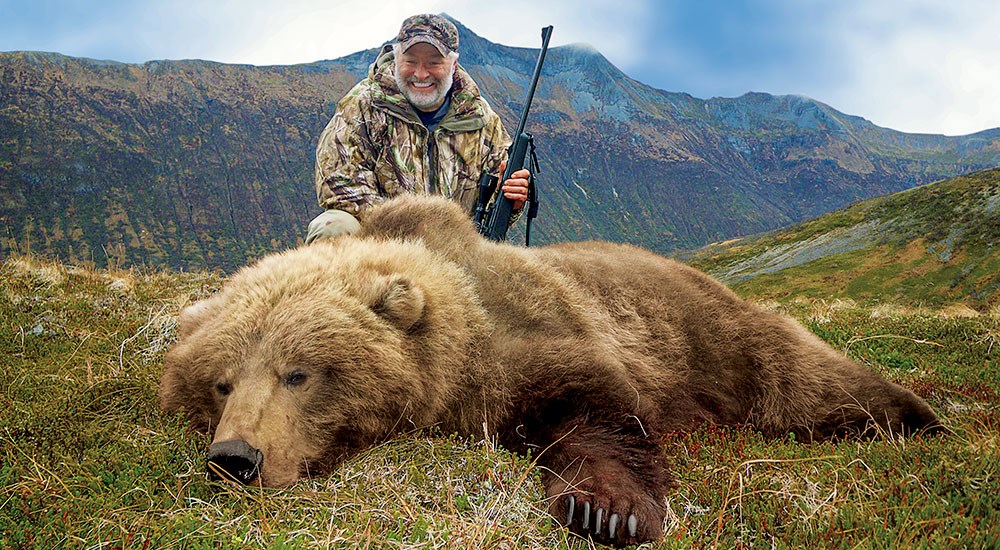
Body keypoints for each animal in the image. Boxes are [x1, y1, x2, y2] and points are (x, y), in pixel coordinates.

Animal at [160, 194, 940, 548]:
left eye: (298, 373)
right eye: (222, 383)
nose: (236, 457)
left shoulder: (531, 339)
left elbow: (596, 411)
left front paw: (606, 508)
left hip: (718, 336)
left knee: (802, 377)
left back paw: (915, 418)